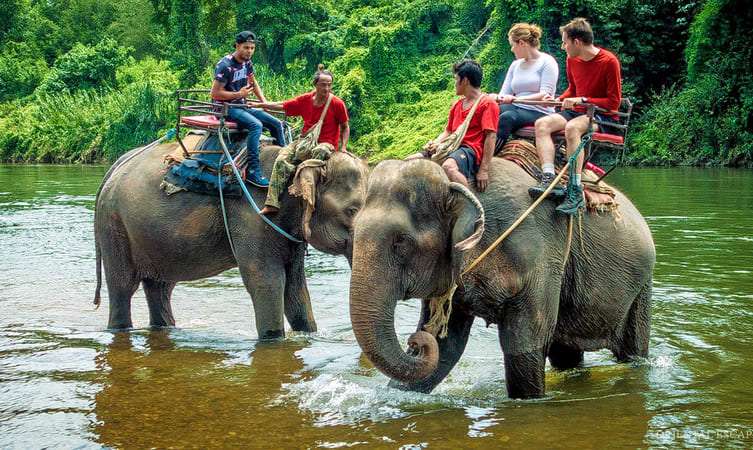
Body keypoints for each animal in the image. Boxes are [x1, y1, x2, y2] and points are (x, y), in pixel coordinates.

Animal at [94, 142, 368, 338]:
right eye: (352, 211)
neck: (297, 162)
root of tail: (115, 167)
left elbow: (296, 286)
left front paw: (307, 334)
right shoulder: (254, 215)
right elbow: (266, 281)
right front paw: (273, 339)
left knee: (160, 287)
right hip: (114, 226)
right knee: (123, 287)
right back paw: (120, 328)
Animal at [349, 158, 655, 398]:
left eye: (400, 242)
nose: (414, 342)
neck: (458, 184)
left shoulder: (538, 256)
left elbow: (524, 344)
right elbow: (446, 346)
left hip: (641, 285)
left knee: (632, 350)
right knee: (565, 354)